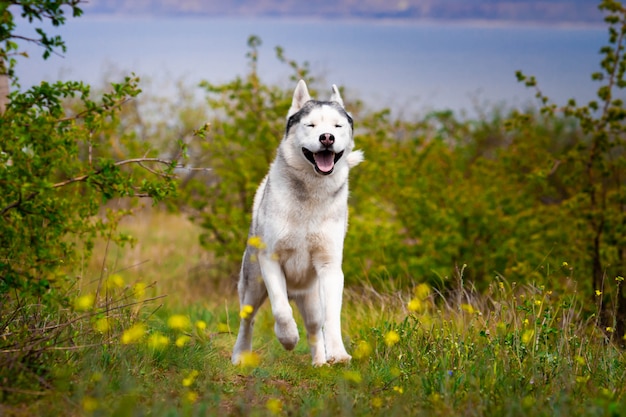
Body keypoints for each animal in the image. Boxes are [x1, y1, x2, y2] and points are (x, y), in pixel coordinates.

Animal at [232, 80, 360, 364]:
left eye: (337, 126)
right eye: (310, 125)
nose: (327, 138)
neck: (310, 194)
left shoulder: (330, 266)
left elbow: (332, 318)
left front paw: (338, 353)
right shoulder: (271, 260)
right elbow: (280, 309)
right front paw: (288, 338)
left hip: (311, 299)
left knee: (314, 327)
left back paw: (320, 362)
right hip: (253, 287)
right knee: (248, 320)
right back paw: (240, 355)